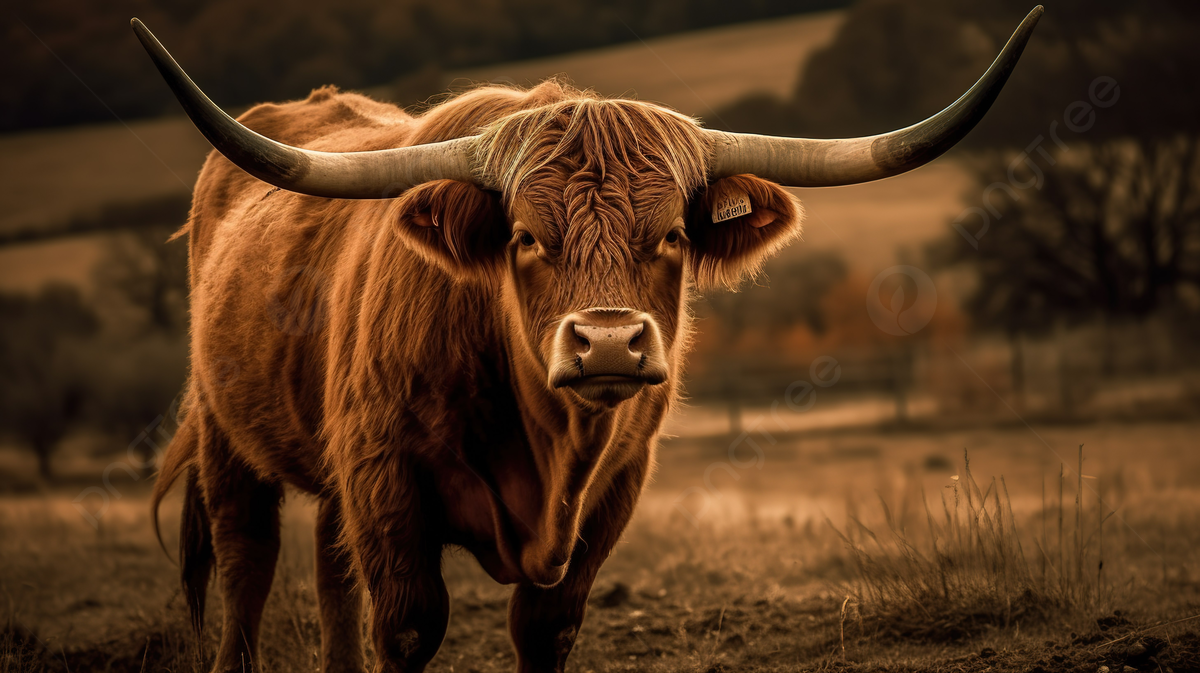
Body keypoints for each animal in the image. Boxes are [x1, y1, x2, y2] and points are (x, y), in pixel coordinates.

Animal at [137, 8, 1041, 673]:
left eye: (672, 235)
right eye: (526, 238)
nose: (608, 344)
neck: (545, 450)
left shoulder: (611, 492)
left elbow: (545, 627)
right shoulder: (387, 480)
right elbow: (406, 626)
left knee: (329, 573)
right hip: (228, 439)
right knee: (247, 565)